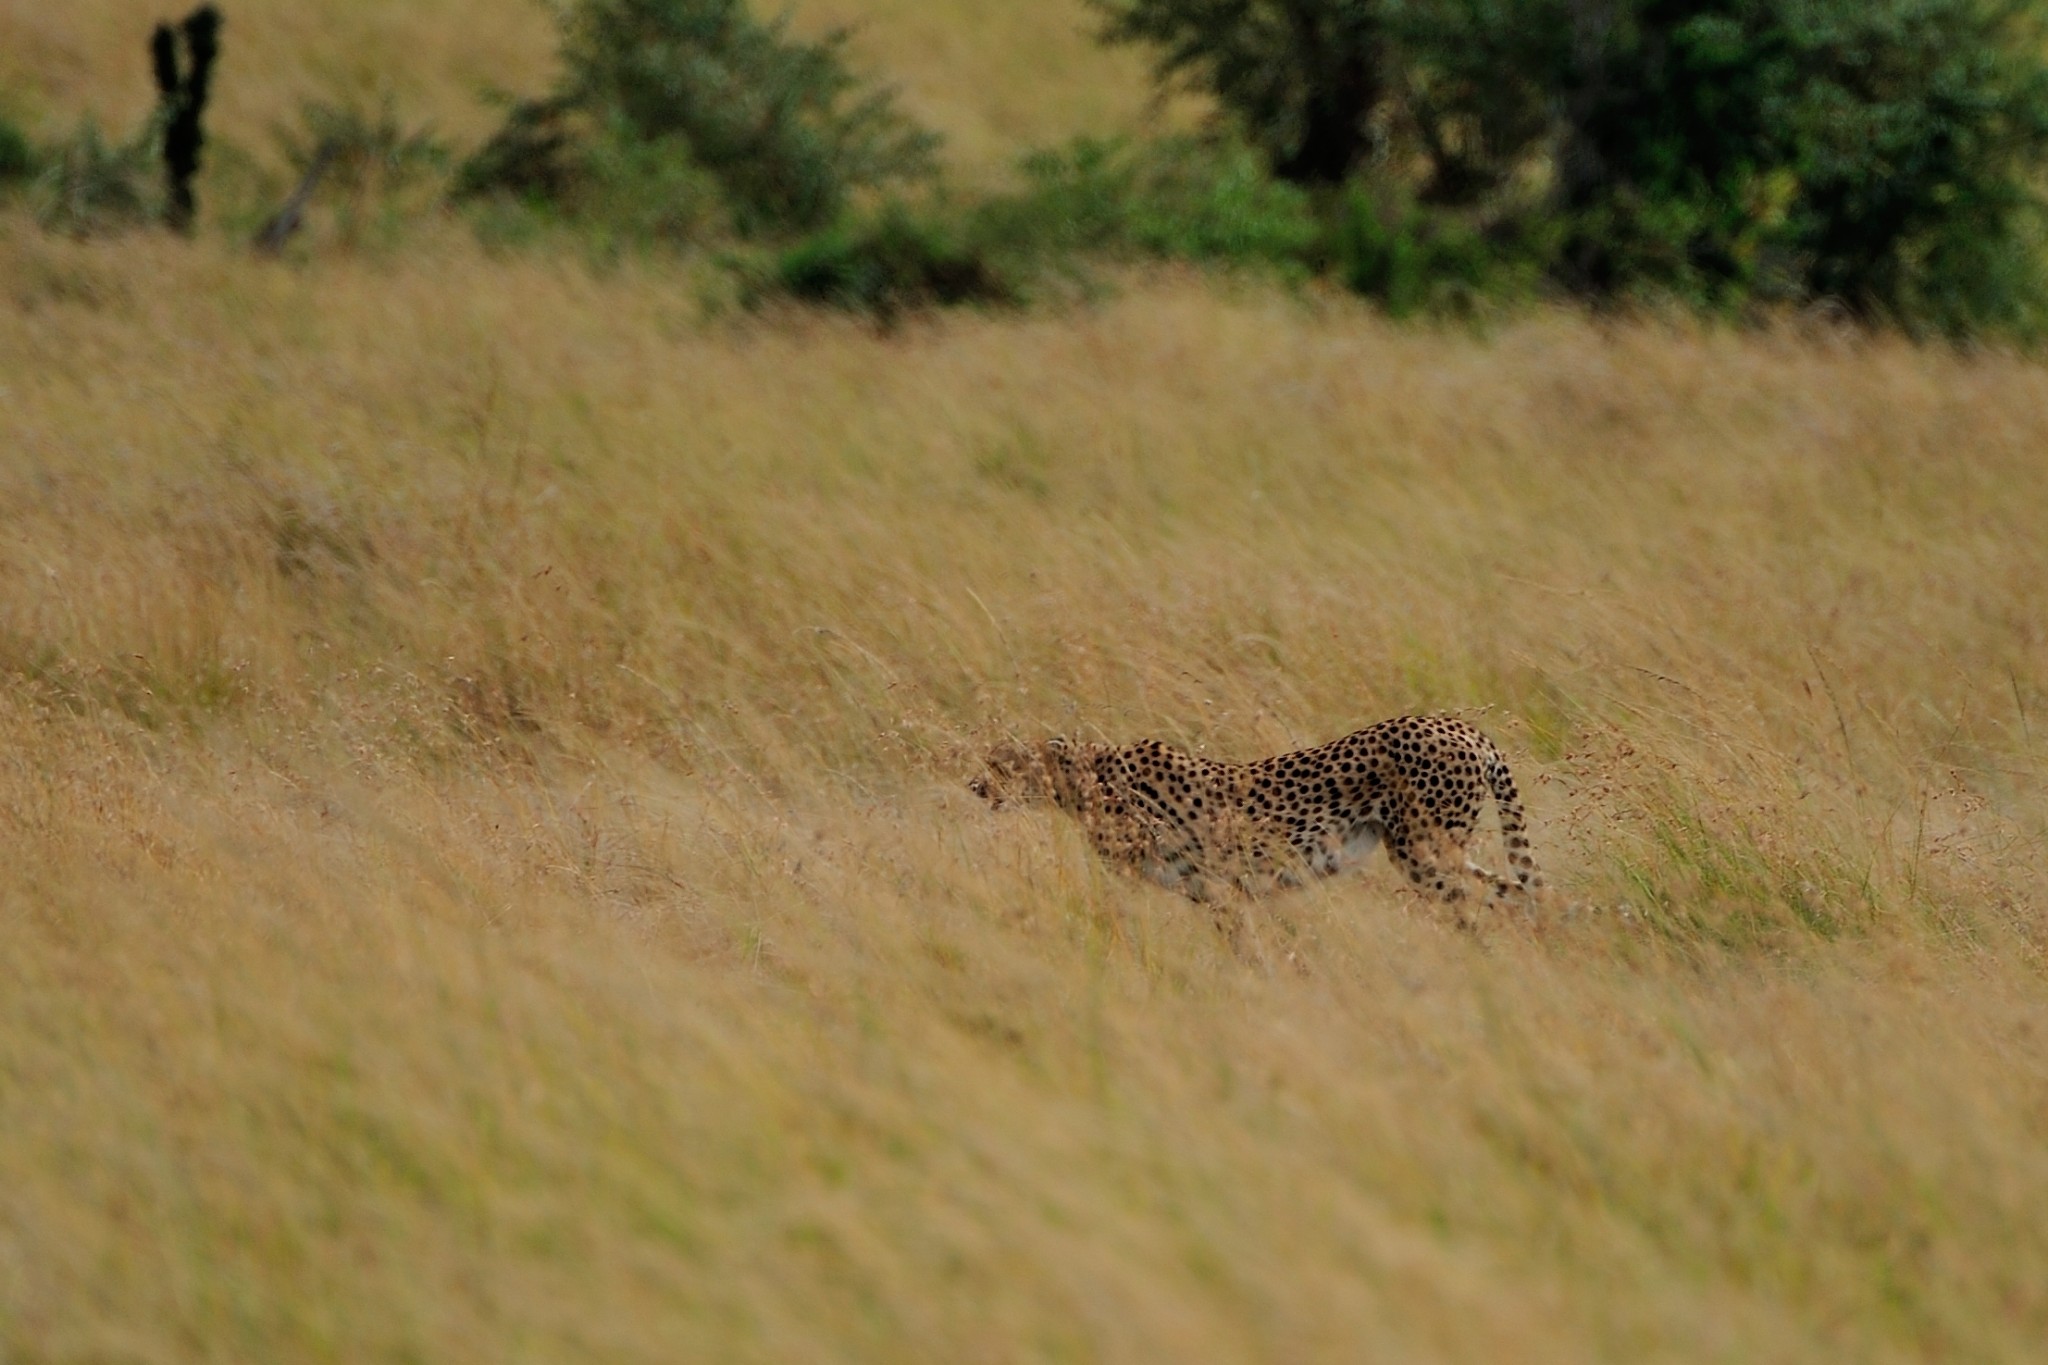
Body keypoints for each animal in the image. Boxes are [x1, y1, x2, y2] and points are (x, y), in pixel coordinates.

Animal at [970, 716, 1540, 908]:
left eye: (1002, 762)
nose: (974, 784)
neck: (1089, 781)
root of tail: (1461, 727)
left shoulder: (1220, 885)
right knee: (1523, 895)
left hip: (1425, 854)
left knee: (1478, 905)